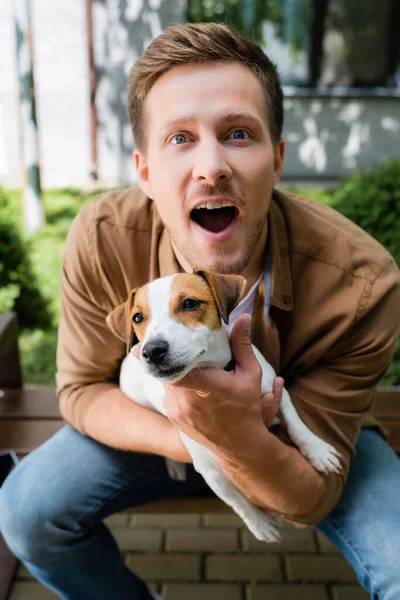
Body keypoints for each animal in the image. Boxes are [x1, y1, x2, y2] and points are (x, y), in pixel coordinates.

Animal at [107, 270, 340, 540]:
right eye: (138, 317)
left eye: (190, 303)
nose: (152, 351)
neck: (219, 371)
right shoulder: (211, 470)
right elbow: (238, 501)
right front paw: (259, 523)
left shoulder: (274, 384)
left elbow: (295, 421)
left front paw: (317, 450)